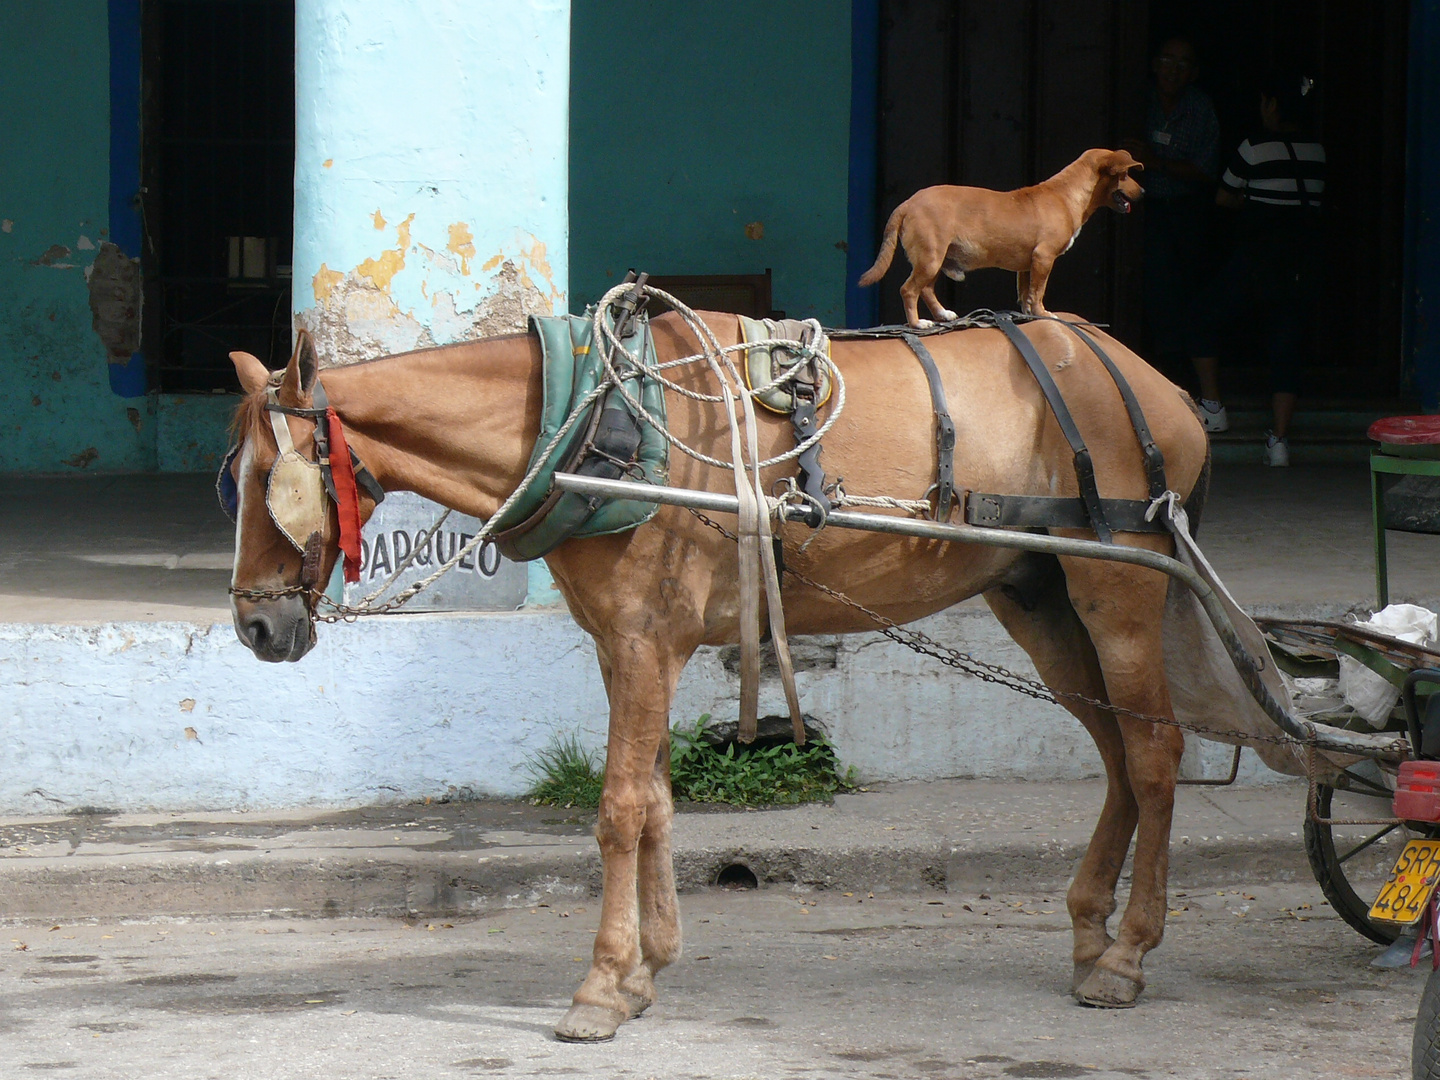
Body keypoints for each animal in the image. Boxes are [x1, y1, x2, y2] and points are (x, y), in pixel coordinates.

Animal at [224, 311, 1209, 1042]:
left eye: (273, 479)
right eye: (233, 477)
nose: (255, 626)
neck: (592, 425)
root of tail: (1160, 388)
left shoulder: (642, 640)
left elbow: (619, 809)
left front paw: (599, 986)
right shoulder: (627, 647)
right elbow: (656, 801)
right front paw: (644, 970)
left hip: (1119, 589)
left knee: (1156, 754)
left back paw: (1128, 954)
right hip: (1037, 595)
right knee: (1118, 755)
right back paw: (1089, 933)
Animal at [852, 148, 1146, 328]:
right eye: (1125, 175)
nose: (1143, 192)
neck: (1067, 193)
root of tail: (908, 203)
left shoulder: (1028, 266)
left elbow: (1026, 293)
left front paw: (1028, 313)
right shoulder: (1044, 257)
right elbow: (1039, 291)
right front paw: (1043, 313)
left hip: (935, 259)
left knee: (925, 289)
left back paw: (942, 314)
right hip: (931, 257)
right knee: (909, 290)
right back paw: (917, 323)